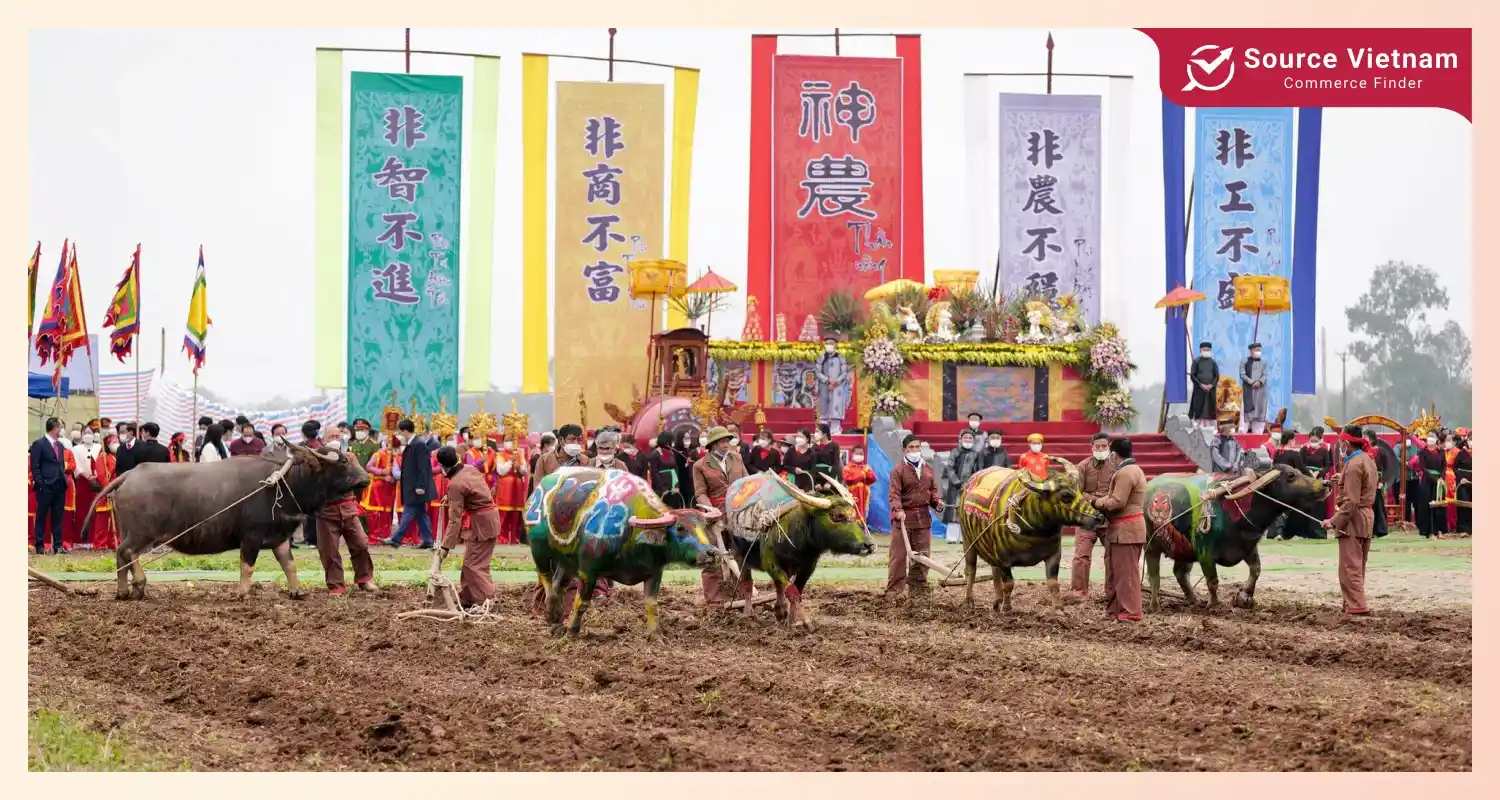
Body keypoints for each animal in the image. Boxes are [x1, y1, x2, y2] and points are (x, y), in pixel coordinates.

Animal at [80, 444, 370, 600]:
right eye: (344, 462)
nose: (365, 479)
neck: (283, 484)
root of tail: (130, 474)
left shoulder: (279, 538)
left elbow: (290, 566)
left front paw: (297, 592)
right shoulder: (251, 537)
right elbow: (247, 567)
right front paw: (242, 593)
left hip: (131, 531)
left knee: (122, 555)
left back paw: (126, 591)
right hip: (141, 533)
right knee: (126, 552)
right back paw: (136, 586)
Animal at [525, 465, 723, 639]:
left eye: (704, 527)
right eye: (680, 528)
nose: (711, 552)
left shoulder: (654, 573)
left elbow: (652, 605)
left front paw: (655, 636)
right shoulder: (587, 571)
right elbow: (581, 602)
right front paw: (571, 633)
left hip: (566, 559)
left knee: (559, 583)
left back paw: (556, 618)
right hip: (538, 548)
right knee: (546, 577)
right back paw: (550, 611)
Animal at [720, 468, 876, 630]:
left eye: (853, 514)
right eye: (837, 516)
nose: (869, 545)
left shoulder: (808, 566)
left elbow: (797, 591)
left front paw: (791, 621)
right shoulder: (770, 562)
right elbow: (792, 591)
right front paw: (806, 623)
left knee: (777, 586)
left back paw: (780, 612)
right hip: (739, 555)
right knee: (747, 584)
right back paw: (748, 615)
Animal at [954, 456, 1110, 612]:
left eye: (1079, 490)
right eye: (1065, 495)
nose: (1098, 517)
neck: (1036, 531)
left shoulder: (1054, 555)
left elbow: (1053, 584)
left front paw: (1058, 608)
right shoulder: (1002, 558)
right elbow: (1009, 584)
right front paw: (1007, 608)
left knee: (994, 571)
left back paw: (997, 601)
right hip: (968, 540)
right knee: (971, 570)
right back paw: (969, 601)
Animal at [1140, 462, 1332, 612]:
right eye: (1291, 475)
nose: (1326, 484)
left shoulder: (1247, 546)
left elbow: (1256, 569)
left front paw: (1244, 597)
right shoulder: (1204, 552)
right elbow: (1213, 580)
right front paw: (1215, 605)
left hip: (1183, 547)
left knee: (1180, 573)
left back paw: (1194, 600)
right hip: (1152, 546)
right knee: (1154, 576)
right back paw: (1155, 606)